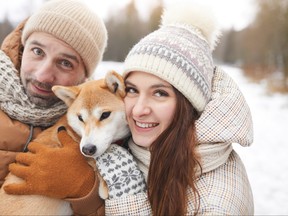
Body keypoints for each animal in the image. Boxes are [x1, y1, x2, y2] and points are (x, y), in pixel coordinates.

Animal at [0, 70, 129, 214]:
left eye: (105, 115)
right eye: (80, 118)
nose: (87, 149)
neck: (74, 132)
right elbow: (93, 162)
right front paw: (104, 185)